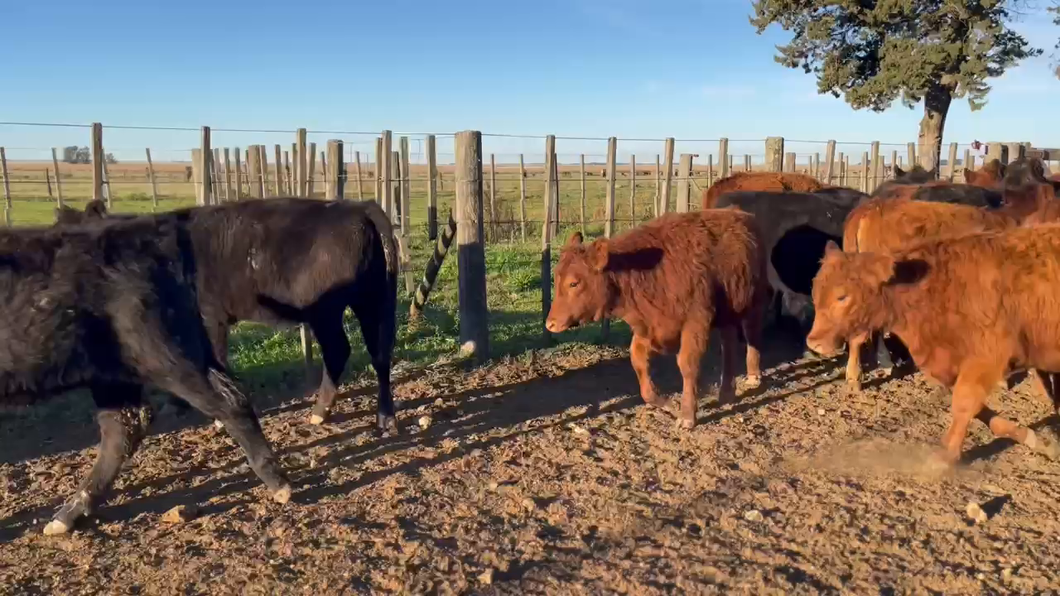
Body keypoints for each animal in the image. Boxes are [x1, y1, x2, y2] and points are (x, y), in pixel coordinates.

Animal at [1, 215, 290, 530]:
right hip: (117, 372)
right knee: (124, 425)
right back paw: (67, 516)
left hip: (163, 354)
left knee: (229, 400)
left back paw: (279, 485)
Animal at [55, 197, 398, 428]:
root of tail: (357, 206)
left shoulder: (209, 317)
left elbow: (210, 361)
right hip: (370, 299)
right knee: (379, 352)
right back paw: (384, 418)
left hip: (328, 312)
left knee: (341, 351)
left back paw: (320, 412)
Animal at [546, 208, 771, 426]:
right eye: (556, 277)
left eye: (574, 283)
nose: (551, 324)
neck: (649, 272)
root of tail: (743, 215)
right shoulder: (649, 327)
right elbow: (638, 362)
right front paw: (667, 404)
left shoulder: (695, 324)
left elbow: (687, 365)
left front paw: (687, 416)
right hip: (727, 314)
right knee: (728, 344)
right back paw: (726, 393)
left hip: (754, 302)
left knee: (751, 334)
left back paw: (753, 376)